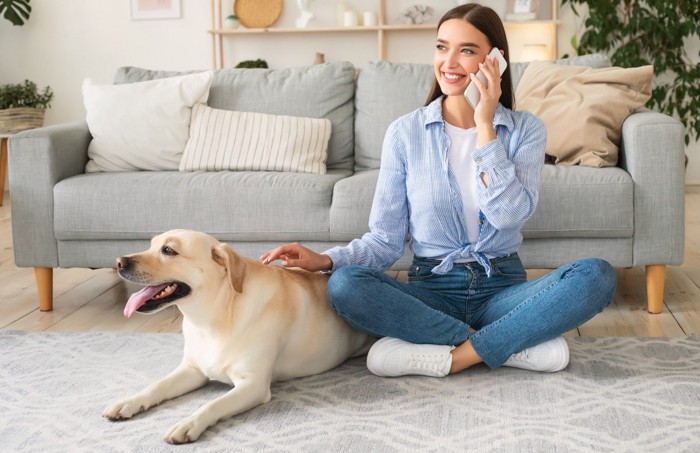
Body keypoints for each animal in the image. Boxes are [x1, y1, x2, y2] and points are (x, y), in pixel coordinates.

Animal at [102, 230, 372, 442]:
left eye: (168, 250)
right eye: (150, 245)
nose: (119, 262)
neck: (213, 317)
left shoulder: (252, 385)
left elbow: (214, 403)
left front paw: (188, 423)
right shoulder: (193, 370)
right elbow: (156, 385)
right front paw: (129, 401)